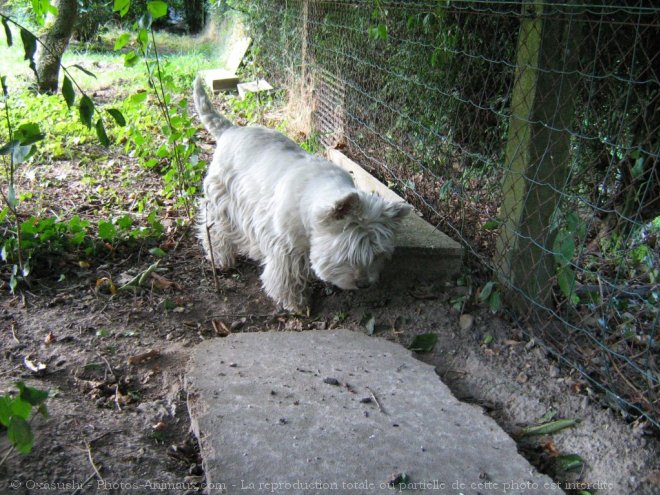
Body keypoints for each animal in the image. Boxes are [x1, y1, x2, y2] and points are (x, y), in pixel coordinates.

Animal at [191, 76, 410, 310]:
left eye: (378, 254)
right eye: (348, 254)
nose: (364, 284)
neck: (311, 200)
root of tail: (230, 130)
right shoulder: (285, 247)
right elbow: (287, 275)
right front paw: (296, 303)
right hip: (221, 200)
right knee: (214, 229)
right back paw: (220, 258)